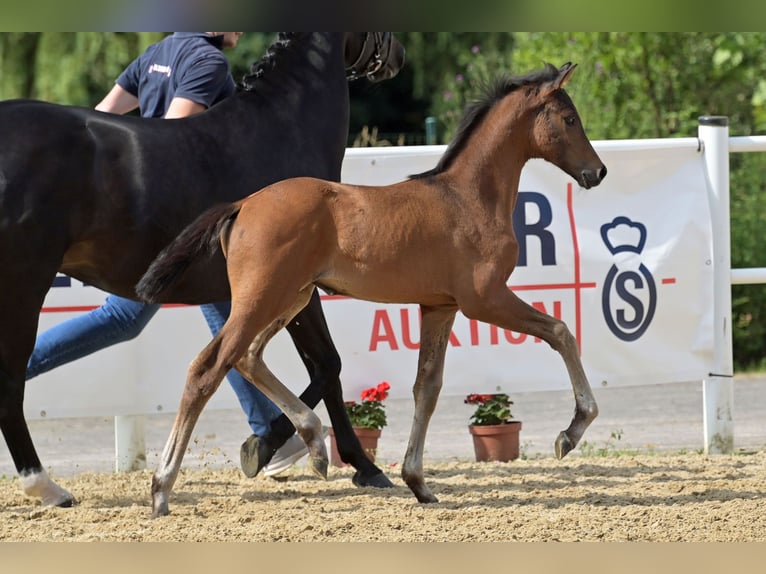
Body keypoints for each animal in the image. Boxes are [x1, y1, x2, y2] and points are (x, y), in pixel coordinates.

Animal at [0, 32, 408, 508]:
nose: (397, 58)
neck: (282, 128)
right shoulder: (298, 287)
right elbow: (327, 365)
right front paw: (312, 454)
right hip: (24, 284)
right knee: (10, 383)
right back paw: (46, 486)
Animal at [136, 63, 608, 516]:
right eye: (569, 118)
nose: (598, 171)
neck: (470, 198)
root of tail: (243, 204)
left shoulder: (439, 307)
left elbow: (426, 389)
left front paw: (419, 484)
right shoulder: (485, 300)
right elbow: (560, 331)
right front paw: (572, 431)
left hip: (292, 297)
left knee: (248, 356)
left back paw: (316, 445)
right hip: (263, 298)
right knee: (208, 368)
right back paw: (161, 489)